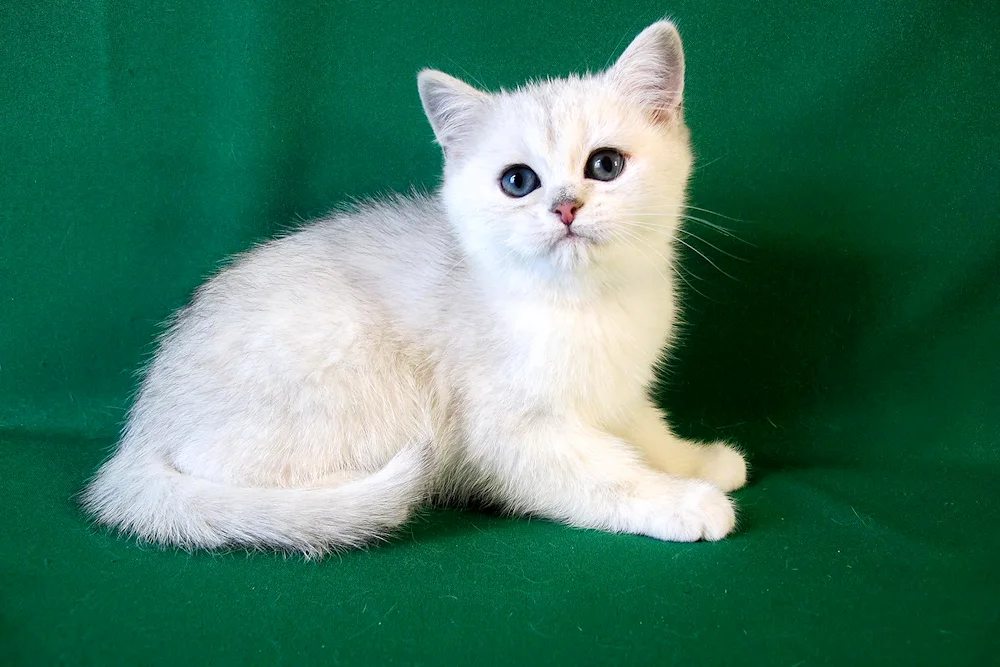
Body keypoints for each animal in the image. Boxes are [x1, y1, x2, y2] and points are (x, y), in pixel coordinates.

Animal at [82, 19, 748, 560]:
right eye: (518, 181)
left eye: (605, 166)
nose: (565, 207)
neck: (587, 305)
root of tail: (137, 437)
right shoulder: (511, 433)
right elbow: (605, 472)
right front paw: (682, 500)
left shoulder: (618, 393)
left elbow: (644, 429)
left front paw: (698, 461)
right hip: (358, 363)